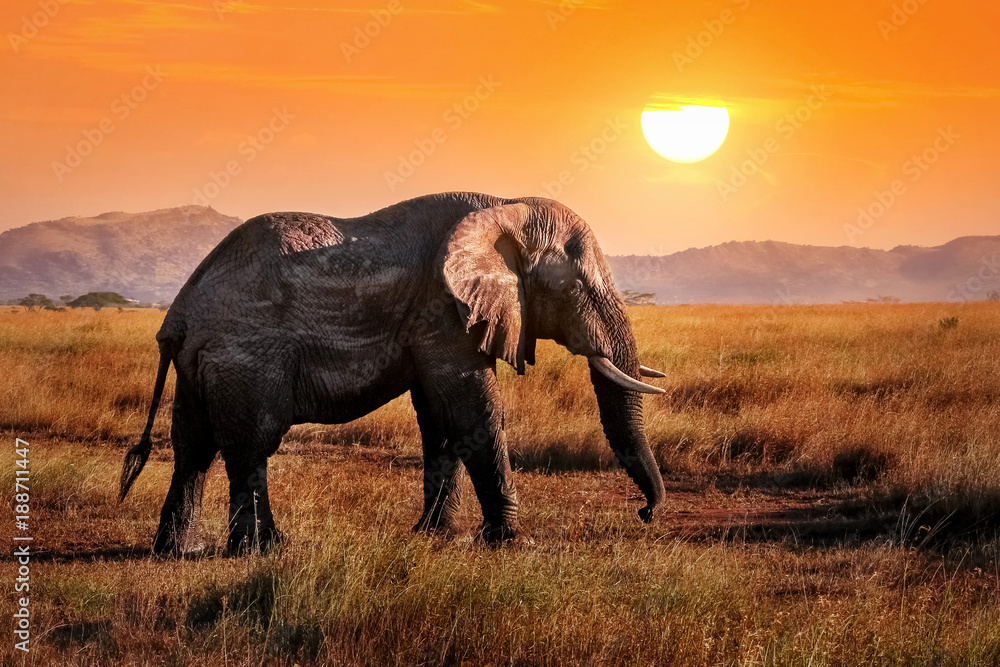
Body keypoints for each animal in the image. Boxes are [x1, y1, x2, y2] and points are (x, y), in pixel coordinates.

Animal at [119, 190, 664, 556]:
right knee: (251, 446)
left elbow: (439, 420)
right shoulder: (444, 311)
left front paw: (434, 534)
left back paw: (178, 551)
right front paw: (510, 541)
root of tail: (178, 314)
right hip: (246, 357)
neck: (503, 206)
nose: (646, 514)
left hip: (200, 365)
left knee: (194, 448)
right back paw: (267, 549)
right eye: (573, 288)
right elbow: (472, 412)